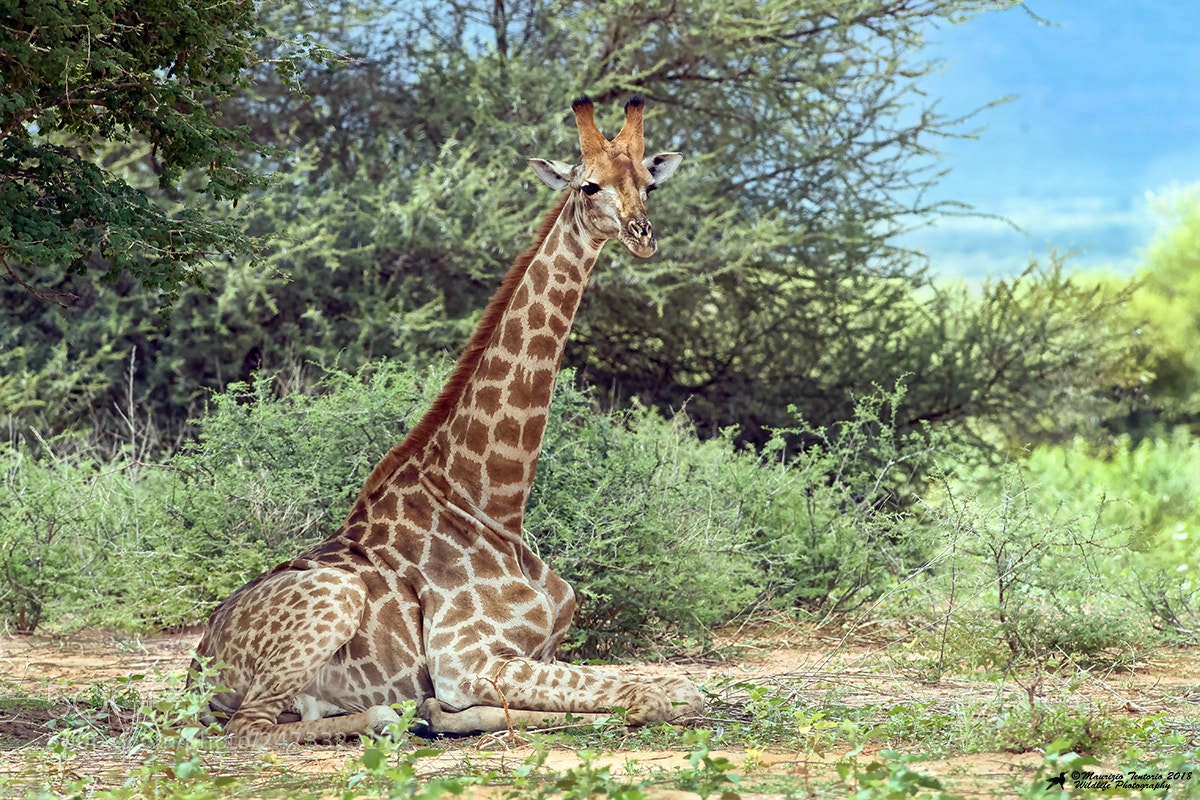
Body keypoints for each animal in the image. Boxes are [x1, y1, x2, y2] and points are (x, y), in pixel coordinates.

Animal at [190, 95, 700, 745]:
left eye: (648, 185)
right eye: (589, 185)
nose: (641, 236)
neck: (495, 502)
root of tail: (197, 666)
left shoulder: (539, 651)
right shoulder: (467, 659)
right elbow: (667, 691)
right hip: (330, 602)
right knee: (250, 729)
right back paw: (392, 716)